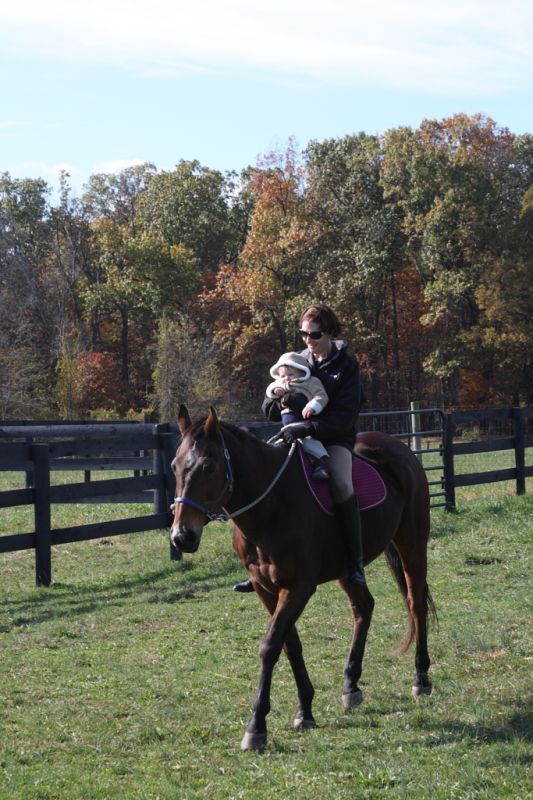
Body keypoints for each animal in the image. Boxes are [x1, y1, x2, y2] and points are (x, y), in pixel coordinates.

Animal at [170, 405, 435, 752]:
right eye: (175, 466)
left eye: (208, 466)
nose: (181, 537)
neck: (272, 508)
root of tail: (400, 449)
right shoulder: (266, 589)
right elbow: (290, 645)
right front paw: (305, 710)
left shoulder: (298, 588)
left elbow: (270, 645)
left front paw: (257, 726)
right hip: (346, 569)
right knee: (364, 608)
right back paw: (351, 685)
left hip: (412, 545)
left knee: (416, 605)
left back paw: (421, 679)